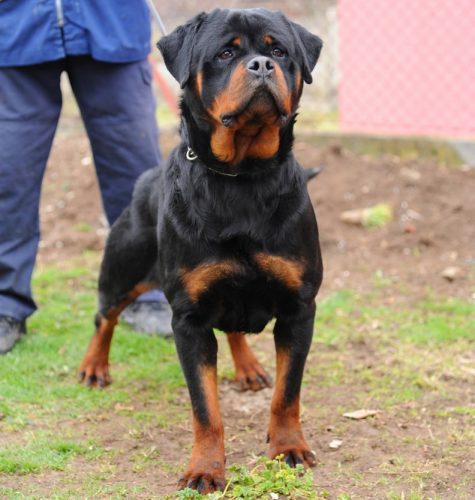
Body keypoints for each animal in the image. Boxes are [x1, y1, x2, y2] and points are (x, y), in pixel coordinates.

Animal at [79, 8, 324, 496]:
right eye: (226, 53)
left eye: (279, 51)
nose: (261, 65)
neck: (242, 177)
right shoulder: (188, 320)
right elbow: (205, 409)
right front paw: (205, 470)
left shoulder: (299, 308)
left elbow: (287, 393)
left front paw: (288, 447)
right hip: (124, 266)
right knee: (105, 314)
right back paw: (94, 366)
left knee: (232, 330)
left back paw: (248, 368)